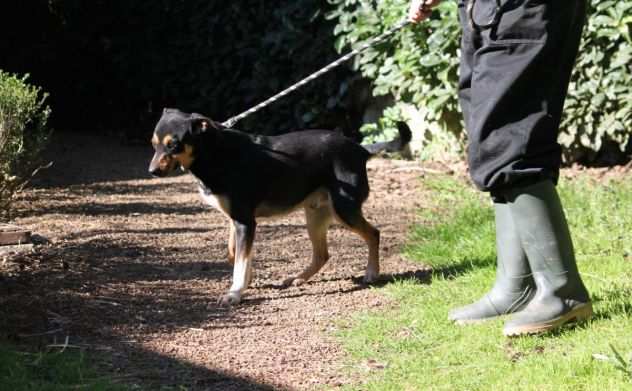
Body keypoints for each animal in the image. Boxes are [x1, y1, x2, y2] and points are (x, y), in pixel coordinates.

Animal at [151, 108, 412, 306]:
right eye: (154, 144)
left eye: (174, 145)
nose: (151, 171)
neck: (214, 153)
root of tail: (360, 149)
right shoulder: (238, 220)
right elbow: (235, 253)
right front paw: (246, 280)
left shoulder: (245, 221)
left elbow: (239, 259)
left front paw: (235, 293)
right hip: (315, 215)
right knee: (322, 254)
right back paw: (298, 278)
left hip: (343, 210)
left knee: (373, 234)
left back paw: (371, 273)